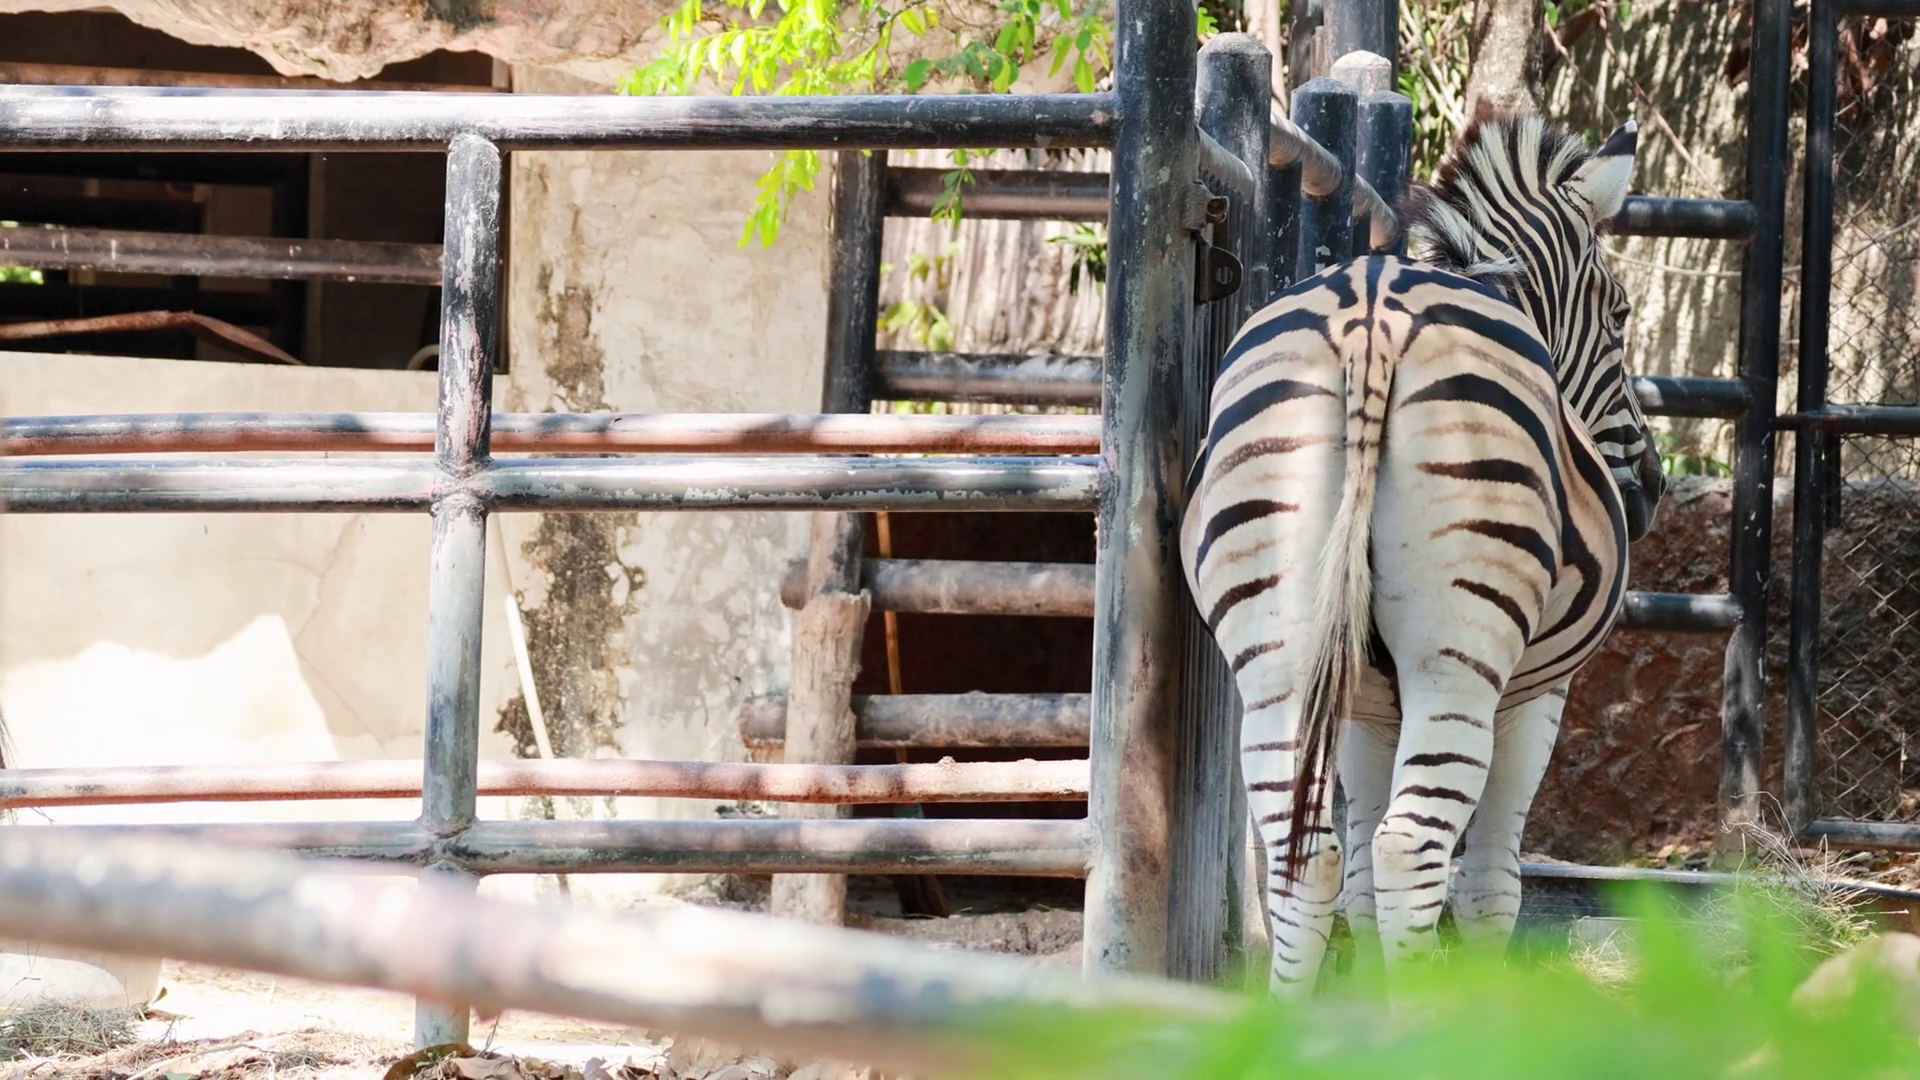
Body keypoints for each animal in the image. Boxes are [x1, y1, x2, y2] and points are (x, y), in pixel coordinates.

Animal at [1179, 111, 1665, 995]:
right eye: (1618, 314)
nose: (1650, 487)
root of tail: (1371, 310)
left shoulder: (1364, 705)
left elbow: (1360, 884)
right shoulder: (1534, 697)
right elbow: (1488, 886)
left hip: (1276, 654)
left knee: (1310, 854)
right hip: (1459, 664)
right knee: (1412, 851)